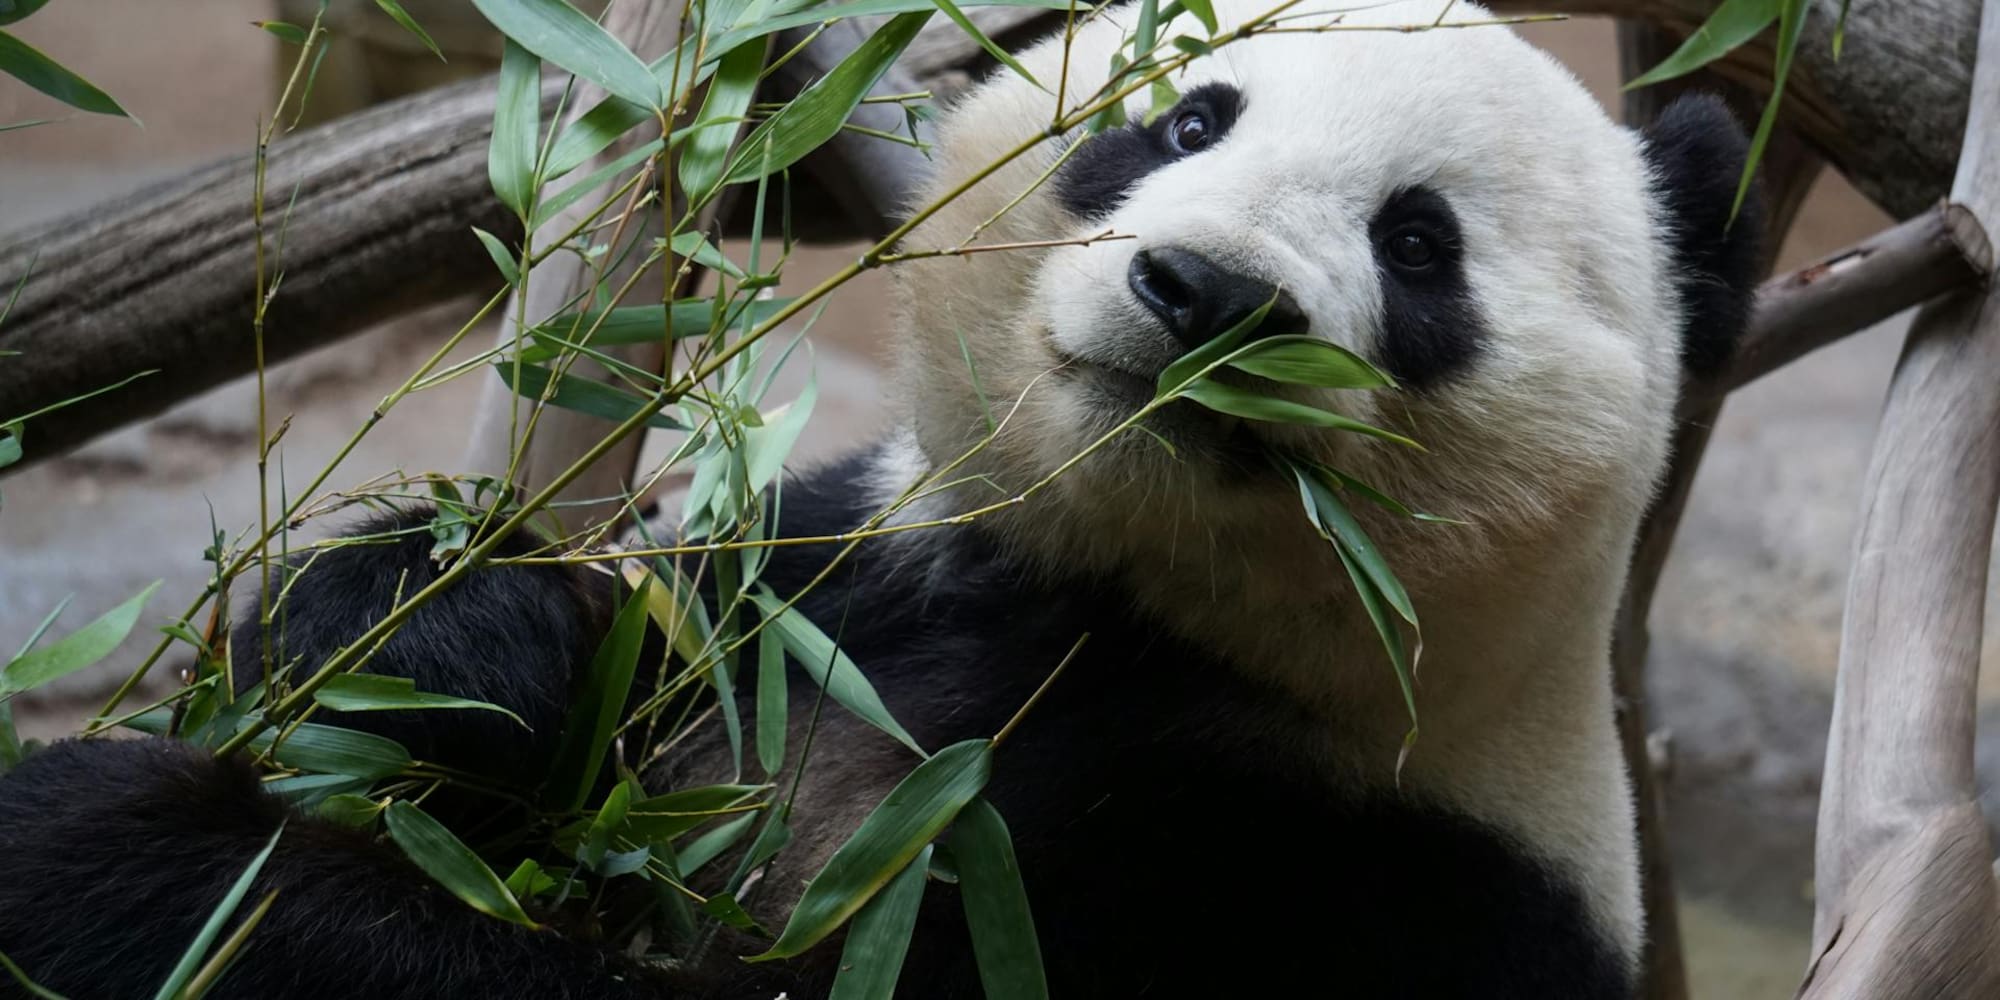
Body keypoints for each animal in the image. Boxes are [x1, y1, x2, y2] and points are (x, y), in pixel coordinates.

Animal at [0, 2, 1760, 997]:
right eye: (1186, 114)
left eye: (1418, 245)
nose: (1203, 295)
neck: (1118, 606)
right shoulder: (836, 582)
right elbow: (576, 665)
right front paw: (450, 644)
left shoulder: (1350, 878)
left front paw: (121, 854)